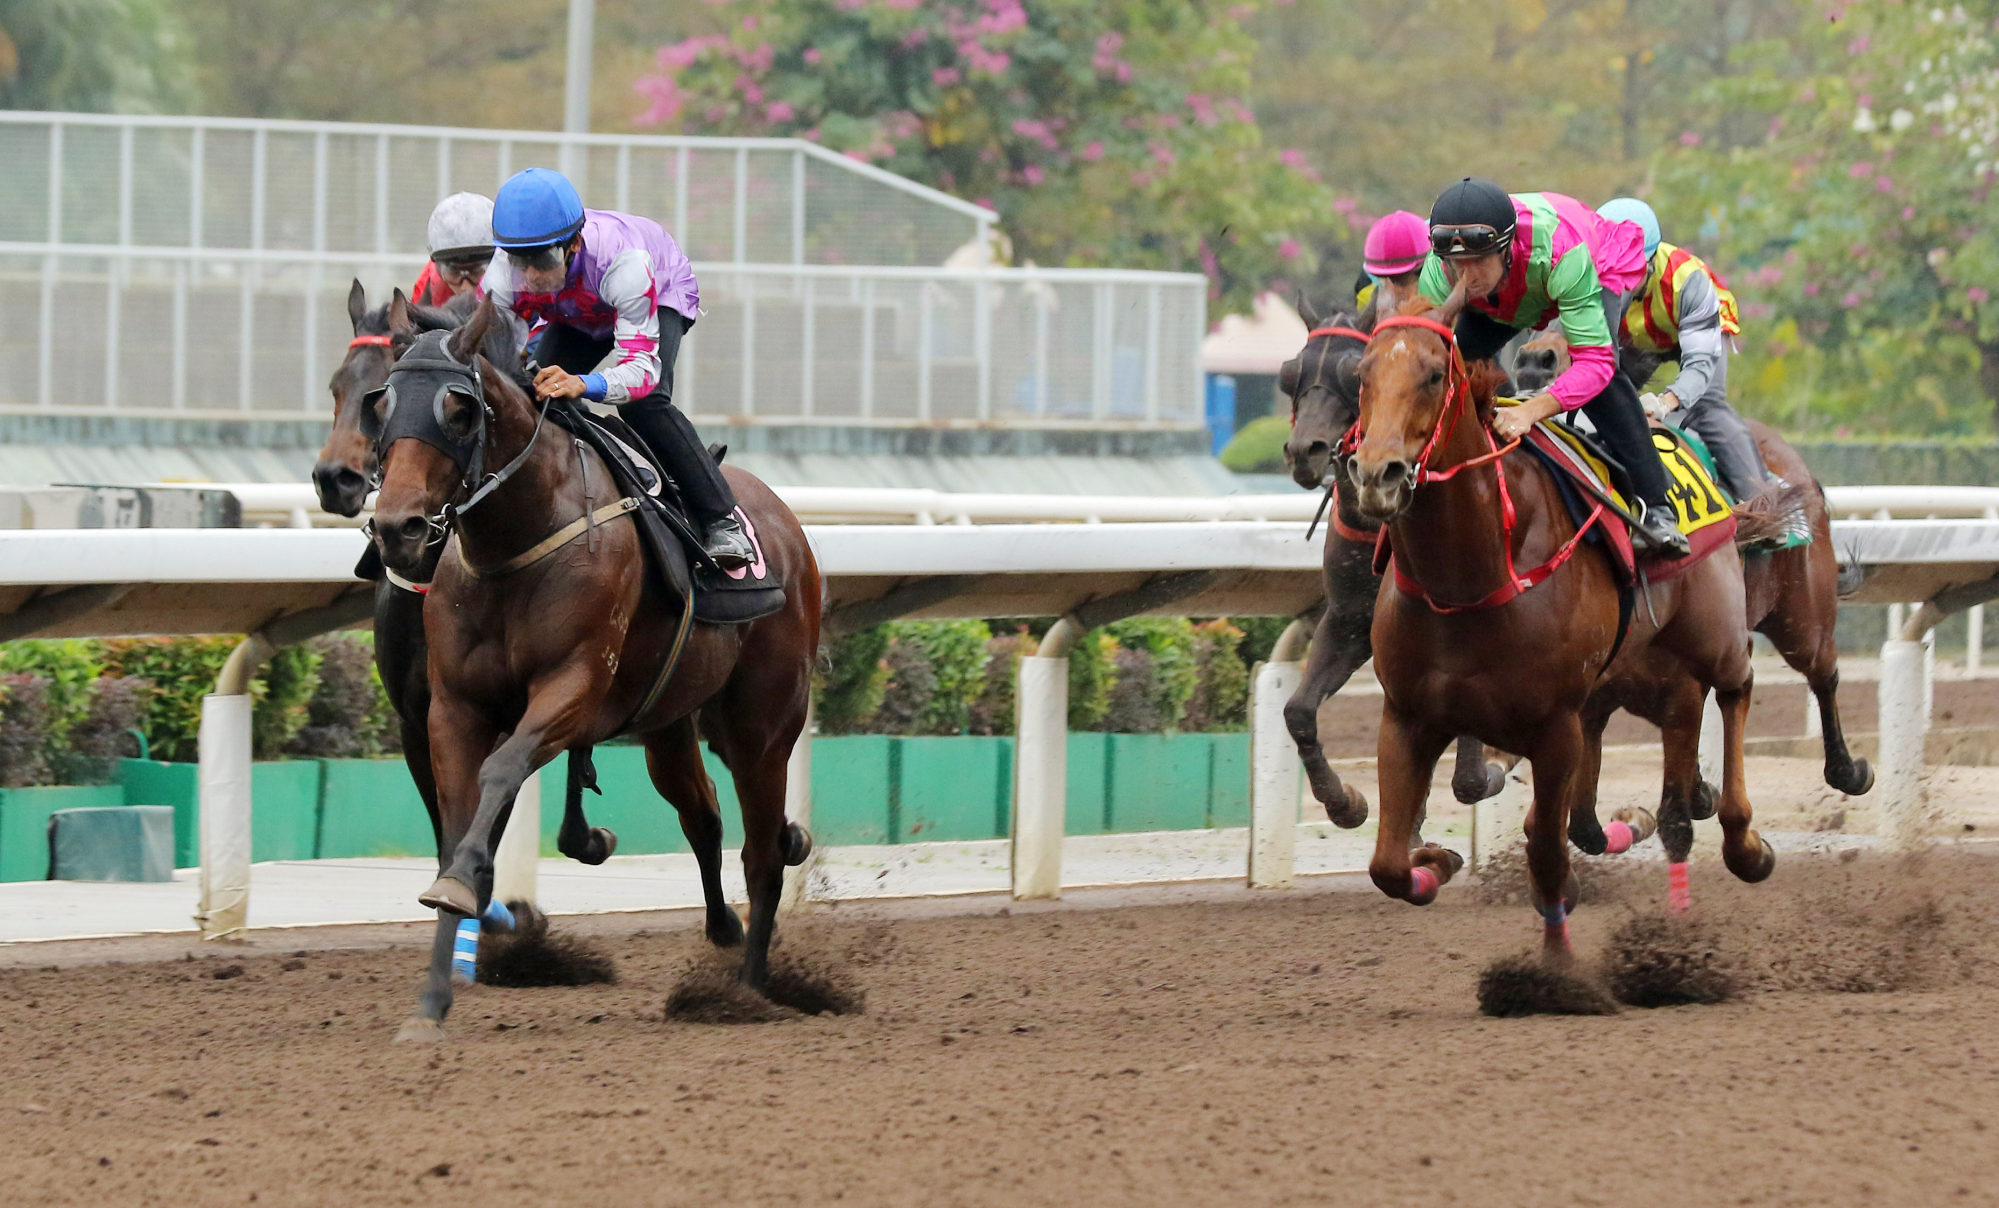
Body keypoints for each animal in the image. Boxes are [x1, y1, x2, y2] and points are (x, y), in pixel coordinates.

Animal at [367, 292, 819, 1040]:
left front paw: (462, 890)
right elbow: (455, 829)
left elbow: (500, 771)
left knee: (761, 853)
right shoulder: (452, 708)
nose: (396, 528)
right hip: (668, 722)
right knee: (703, 814)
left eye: (458, 409)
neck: (514, 542)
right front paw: (431, 1001)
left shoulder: (572, 688)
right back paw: (724, 935)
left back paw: (748, 991)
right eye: (383, 403)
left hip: (764, 724)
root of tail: (785, 523)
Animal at [1351, 288, 1775, 956]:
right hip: (1628, 682)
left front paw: (1557, 966)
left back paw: (1745, 843)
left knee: (1737, 687)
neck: (1468, 580)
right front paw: (1436, 861)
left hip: (1714, 635)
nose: (1377, 474)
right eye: (1362, 375)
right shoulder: (1407, 716)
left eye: (1433, 375)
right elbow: (1389, 865)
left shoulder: (1554, 728)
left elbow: (1547, 856)